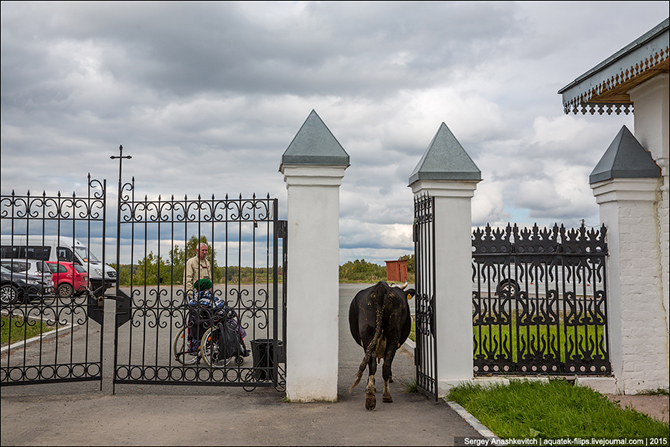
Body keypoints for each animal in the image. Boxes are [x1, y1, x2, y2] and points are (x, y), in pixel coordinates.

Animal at [352, 282, 414, 412]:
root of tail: (381, 287)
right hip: (392, 336)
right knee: (383, 364)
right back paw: (384, 395)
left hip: (369, 336)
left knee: (374, 364)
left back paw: (372, 396)